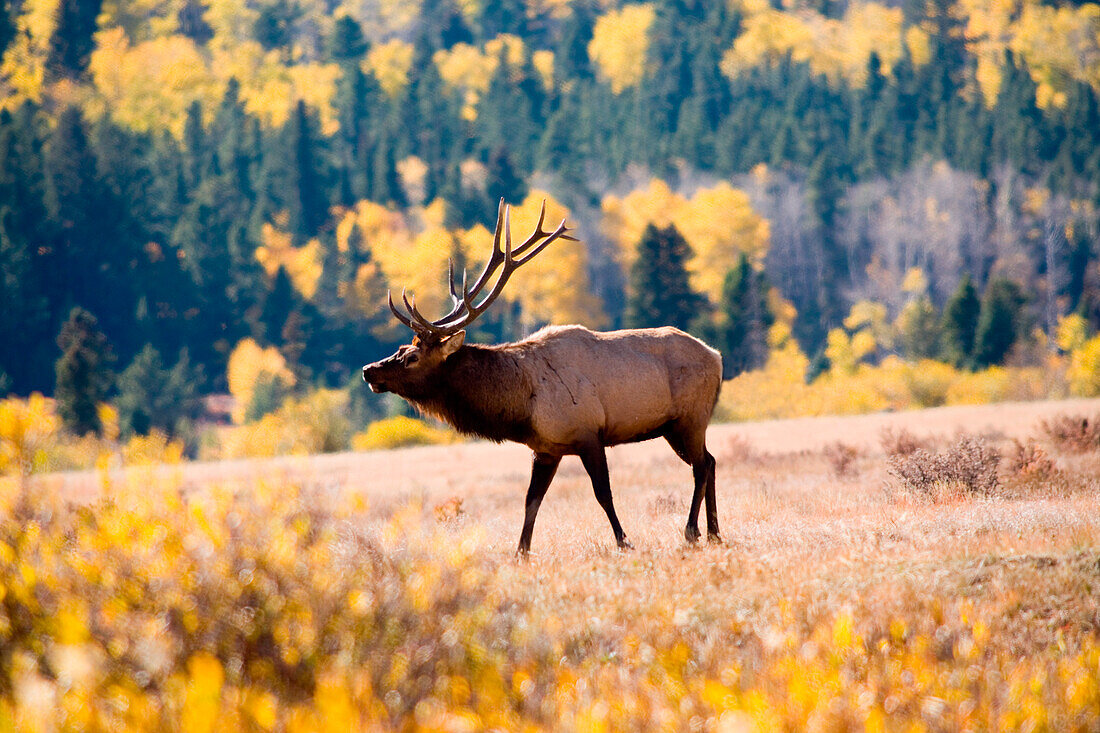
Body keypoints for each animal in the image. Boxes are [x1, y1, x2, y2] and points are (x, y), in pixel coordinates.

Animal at [363, 200, 721, 554]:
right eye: (399, 348)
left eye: (412, 357)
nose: (369, 370)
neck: (522, 405)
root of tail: (716, 356)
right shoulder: (546, 448)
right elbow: (531, 501)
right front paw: (521, 553)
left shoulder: (588, 433)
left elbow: (603, 493)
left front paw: (624, 541)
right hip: (675, 427)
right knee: (710, 461)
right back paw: (715, 533)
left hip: (690, 418)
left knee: (701, 466)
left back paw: (692, 531)